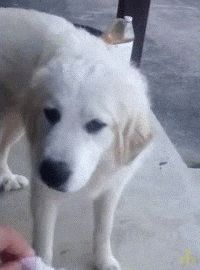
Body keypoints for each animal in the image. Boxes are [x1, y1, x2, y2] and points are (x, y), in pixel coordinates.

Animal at [0, 7, 152, 270]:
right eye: (51, 114)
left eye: (96, 125)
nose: (52, 173)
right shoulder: (44, 191)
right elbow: (43, 243)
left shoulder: (112, 184)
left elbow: (103, 229)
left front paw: (104, 260)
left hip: (16, 122)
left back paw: (7, 177)